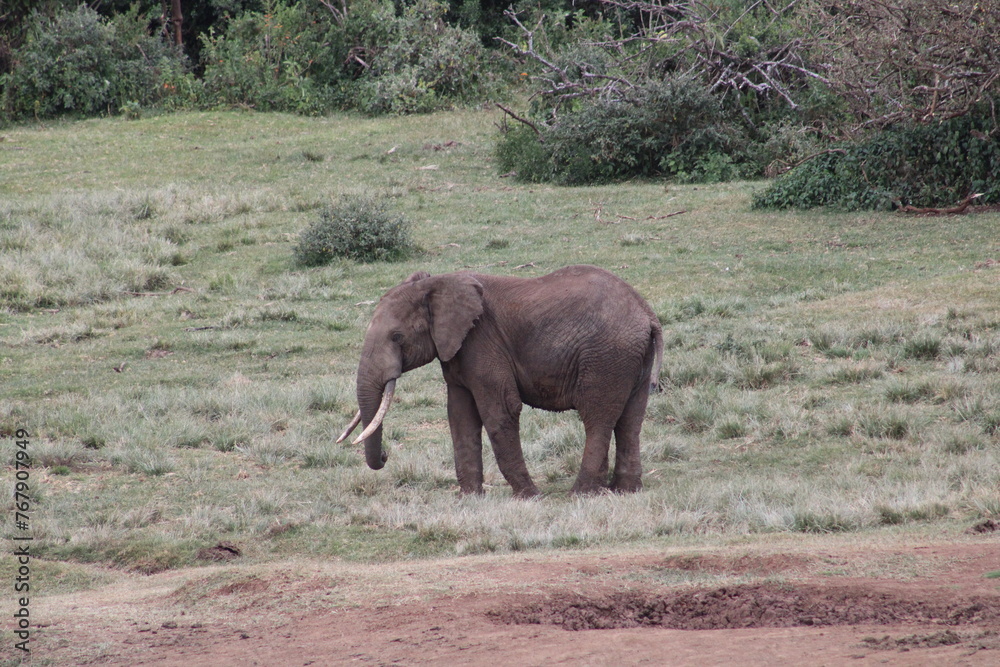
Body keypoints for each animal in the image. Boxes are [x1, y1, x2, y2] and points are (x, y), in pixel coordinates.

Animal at [338, 264, 663, 497]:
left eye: (397, 337)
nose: (385, 455)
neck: (437, 284)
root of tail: (647, 313)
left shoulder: (483, 341)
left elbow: (500, 411)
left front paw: (530, 497)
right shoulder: (457, 351)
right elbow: (460, 416)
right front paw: (469, 499)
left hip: (606, 356)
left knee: (597, 417)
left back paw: (581, 494)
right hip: (630, 357)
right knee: (631, 419)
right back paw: (625, 491)